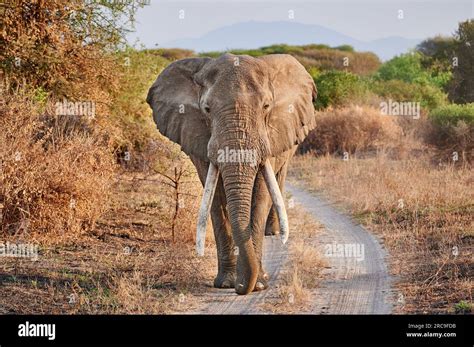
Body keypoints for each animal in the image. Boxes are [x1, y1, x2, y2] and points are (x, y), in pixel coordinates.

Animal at [147, 53, 318, 294]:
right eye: (207, 109)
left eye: (266, 106)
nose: (241, 286)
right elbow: (216, 198)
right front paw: (226, 283)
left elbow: (261, 195)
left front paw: (258, 285)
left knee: (279, 179)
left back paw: (273, 233)